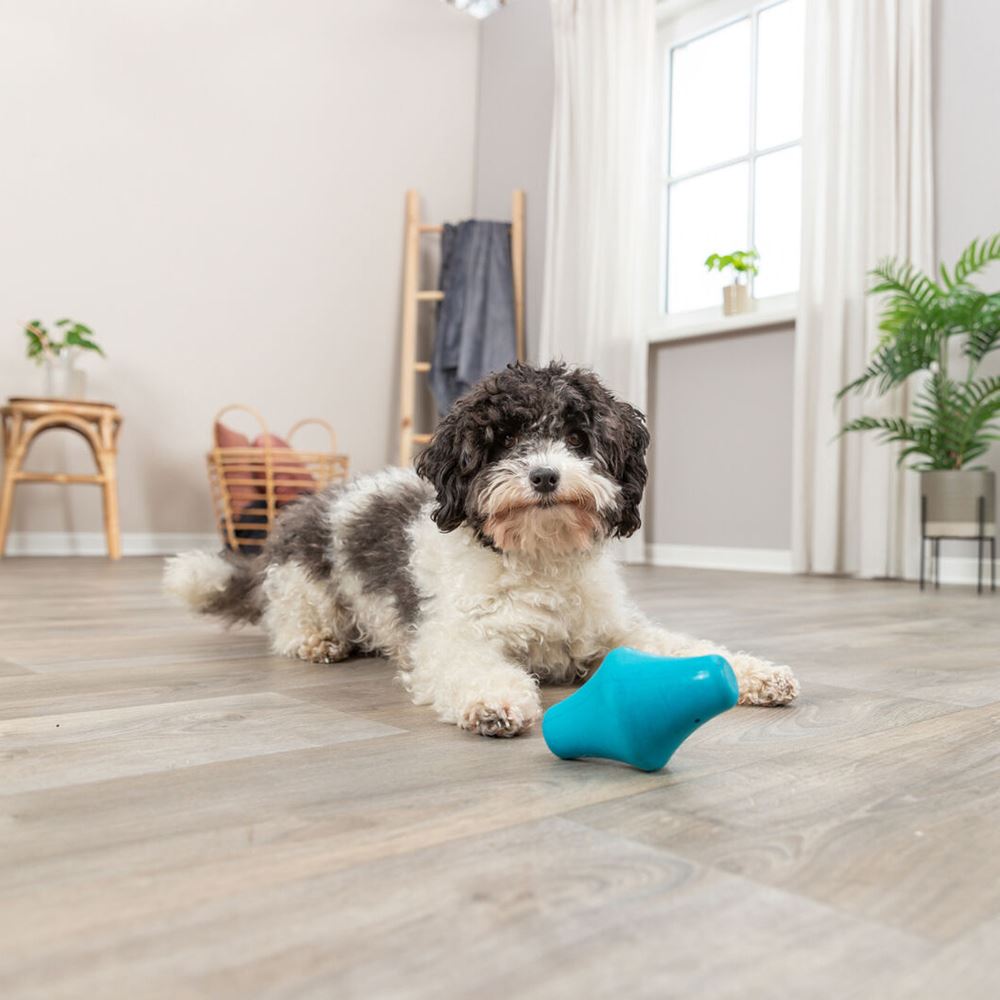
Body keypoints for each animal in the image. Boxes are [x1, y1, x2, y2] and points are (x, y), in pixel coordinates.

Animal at [168, 364, 800, 740]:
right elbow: (473, 667)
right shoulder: (453, 637)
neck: (539, 559)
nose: (544, 476)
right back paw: (319, 642)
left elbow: (685, 647)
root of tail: (318, 502)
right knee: (290, 624)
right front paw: (496, 701)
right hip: (306, 585)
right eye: (506, 439)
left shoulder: (615, 630)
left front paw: (754, 673)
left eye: (578, 438)